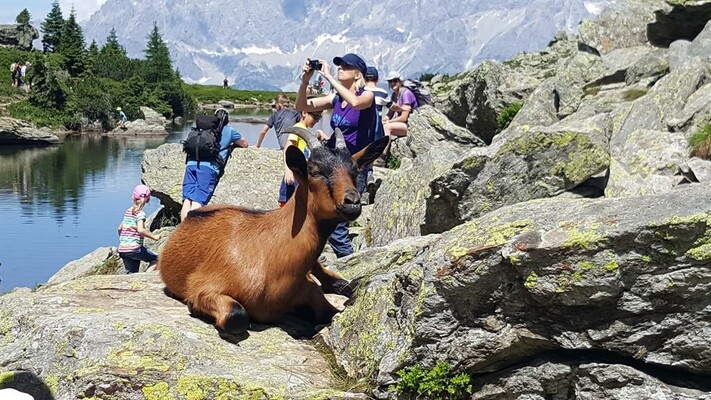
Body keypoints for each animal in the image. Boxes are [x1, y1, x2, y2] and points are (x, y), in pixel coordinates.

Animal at [160, 129, 390, 334]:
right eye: (315, 171)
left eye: (355, 171)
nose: (352, 202)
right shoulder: (204, 286)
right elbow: (236, 316)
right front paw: (194, 307)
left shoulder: (310, 290)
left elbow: (331, 314)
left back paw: (343, 284)